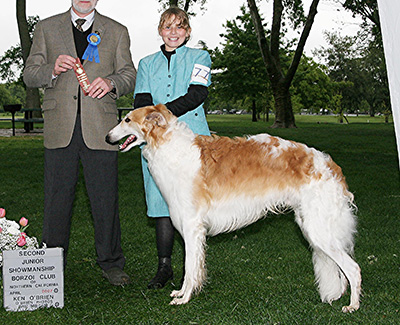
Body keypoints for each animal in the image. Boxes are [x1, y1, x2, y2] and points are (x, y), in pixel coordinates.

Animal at [106, 104, 362, 312]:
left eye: (126, 119)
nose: (108, 137)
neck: (170, 146)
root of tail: (330, 165)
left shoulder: (192, 226)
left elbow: (190, 268)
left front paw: (184, 298)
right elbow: (194, 268)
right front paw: (183, 293)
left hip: (319, 230)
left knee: (354, 269)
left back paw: (353, 305)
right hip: (313, 225)